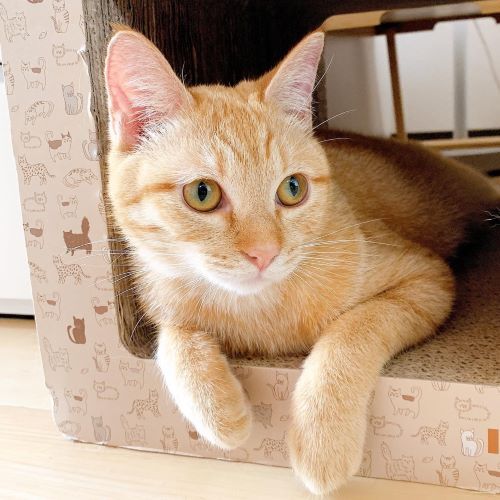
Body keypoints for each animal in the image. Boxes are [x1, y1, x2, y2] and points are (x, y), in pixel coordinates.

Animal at [105, 29, 500, 495]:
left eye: (292, 188)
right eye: (202, 193)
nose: (264, 253)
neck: (261, 310)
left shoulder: (427, 280)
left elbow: (352, 330)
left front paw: (323, 440)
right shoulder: (162, 297)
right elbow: (173, 336)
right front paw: (220, 413)